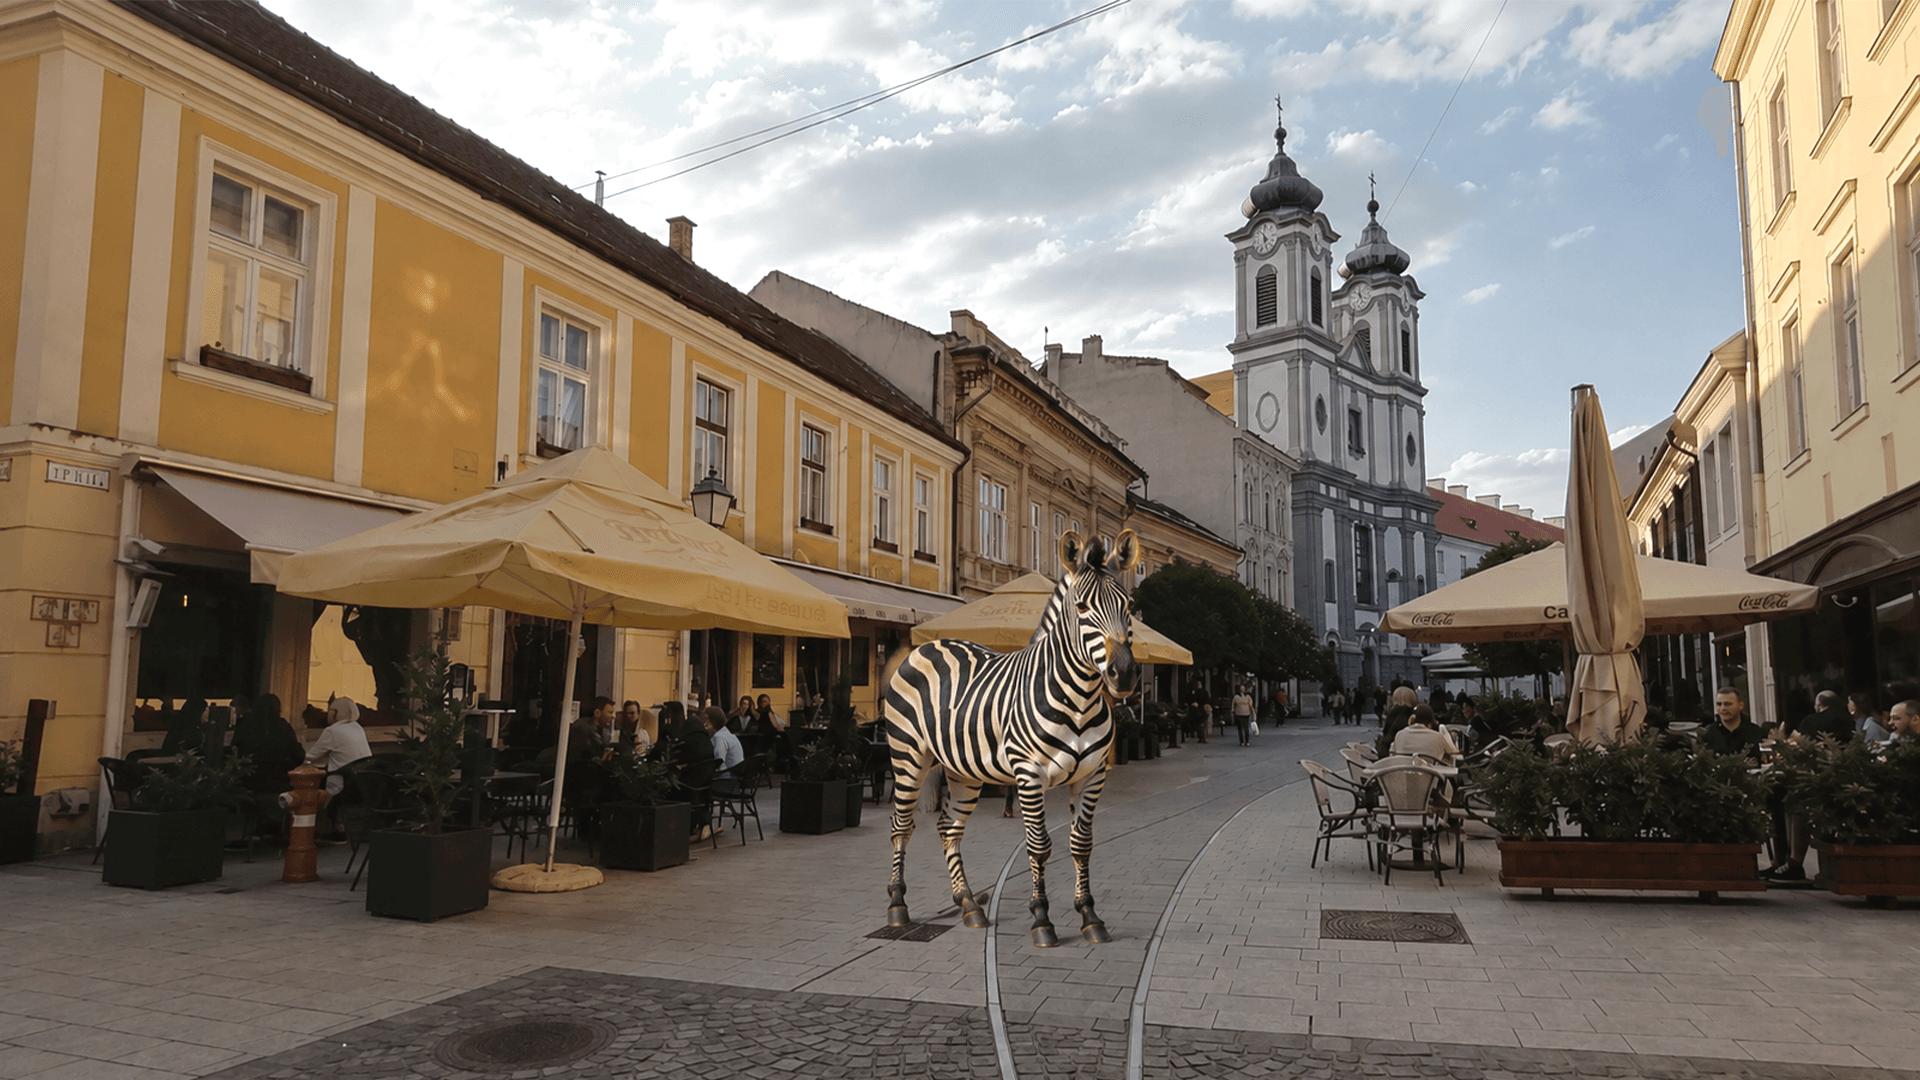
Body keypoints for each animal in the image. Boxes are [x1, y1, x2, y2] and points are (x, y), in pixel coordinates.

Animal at [883, 529, 1140, 947]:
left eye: (1130, 605)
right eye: (1082, 607)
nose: (1125, 674)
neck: (1080, 699)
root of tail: (927, 645)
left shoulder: (1093, 776)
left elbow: (1081, 844)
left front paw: (1090, 916)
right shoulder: (1029, 775)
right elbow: (1039, 846)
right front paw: (1042, 920)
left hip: (963, 771)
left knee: (948, 828)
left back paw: (969, 905)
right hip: (908, 757)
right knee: (901, 826)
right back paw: (897, 906)